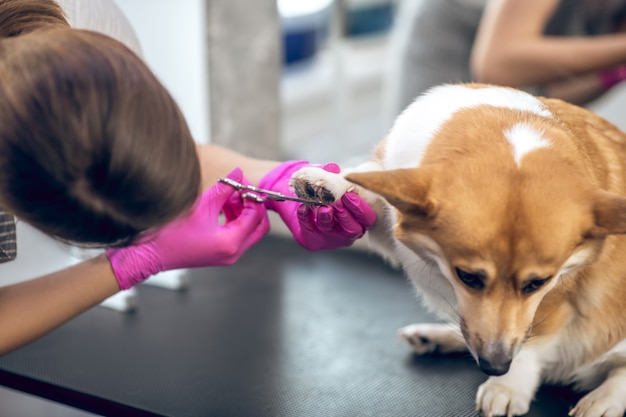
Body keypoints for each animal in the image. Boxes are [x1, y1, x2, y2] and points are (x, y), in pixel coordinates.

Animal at [288, 82, 626, 416]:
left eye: (537, 283)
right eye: (468, 277)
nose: (496, 366)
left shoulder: (556, 300)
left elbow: (531, 342)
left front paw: (507, 386)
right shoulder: (393, 212)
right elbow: (368, 185)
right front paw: (328, 181)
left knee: (617, 370)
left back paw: (602, 401)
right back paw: (435, 336)